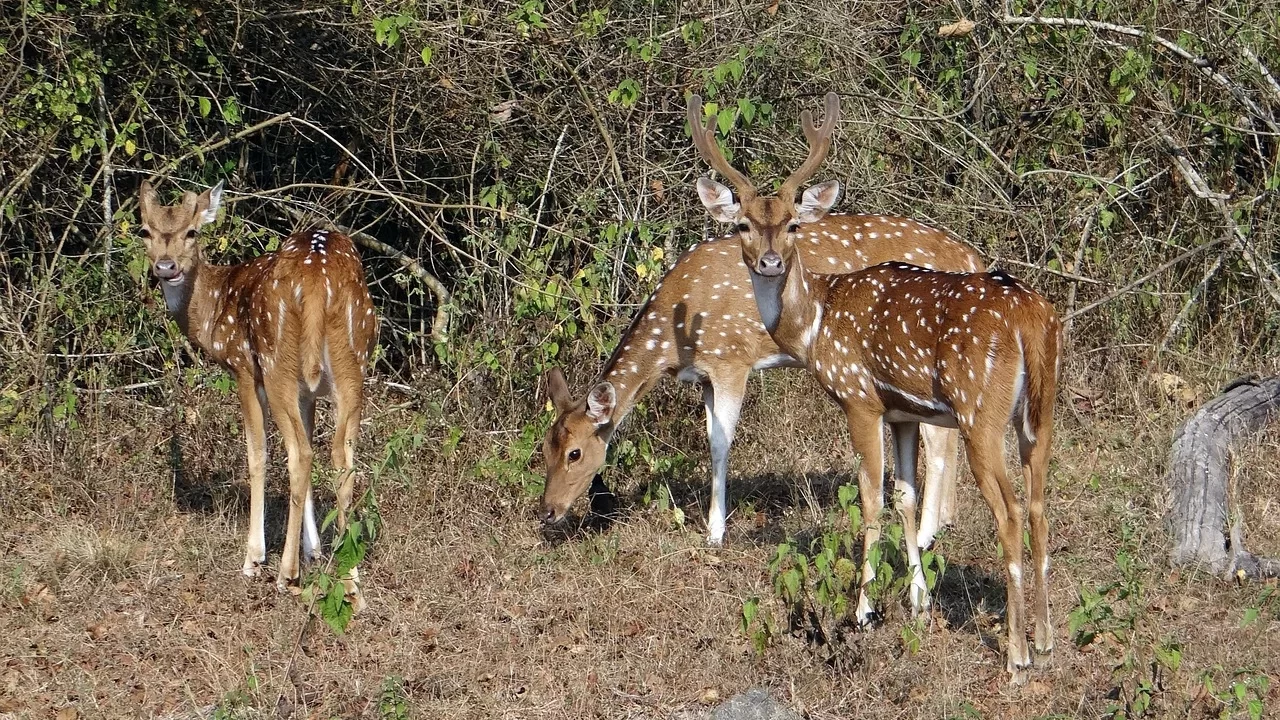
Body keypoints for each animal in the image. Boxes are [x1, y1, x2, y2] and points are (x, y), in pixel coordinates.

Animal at [137, 179, 378, 613]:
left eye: (191, 232)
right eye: (145, 231)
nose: (166, 267)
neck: (211, 315)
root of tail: (317, 281)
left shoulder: (243, 369)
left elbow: (257, 454)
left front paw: (255, 557)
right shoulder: (308, 392)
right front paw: (314, 549)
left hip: (275, 360)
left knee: (299, 454)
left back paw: (286, 574)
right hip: (353, 362)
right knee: (340, 458)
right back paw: (350, 582)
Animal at [540, 194, 984, 550]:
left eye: (575, 452)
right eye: (545, 449)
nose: (547, 511)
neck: (674, 339)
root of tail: (970, 256)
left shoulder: (731, 358)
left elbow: (720, 445)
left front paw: (715, 532)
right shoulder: (705, 377)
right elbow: (711, 438)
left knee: (939, 441)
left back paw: (926, 535)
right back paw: (945, 521)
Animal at [687, 91, 1060, 684]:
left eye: (793, 225)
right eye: (744, 224)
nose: (769, 261)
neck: (815, 323)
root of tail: (1030, 318)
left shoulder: (859, 398)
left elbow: (870, 498)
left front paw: (862, 609)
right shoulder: (903, 411)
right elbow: (905, 496)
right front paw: (918, 601)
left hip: (980, 411)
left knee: (1011, 512)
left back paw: (1017, 654)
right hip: (1040, 412)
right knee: (1042, 503)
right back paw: (1045, 641)